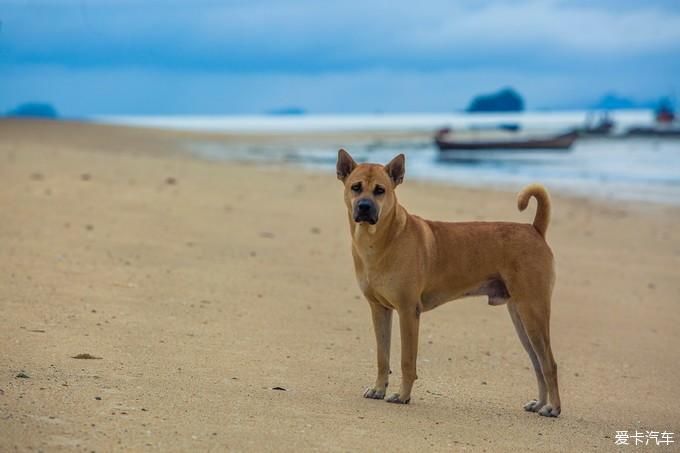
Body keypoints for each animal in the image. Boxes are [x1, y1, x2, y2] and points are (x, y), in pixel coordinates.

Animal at [336, 148, 564, 416]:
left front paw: (403, 396)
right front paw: (379, 389)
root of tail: (535, 229)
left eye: (380, 190)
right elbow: (383, 357)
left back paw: (553, 408)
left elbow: (406, 361)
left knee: (549, 363)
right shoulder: (379, 310)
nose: (364, 206)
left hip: (533, 312)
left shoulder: (408, 312)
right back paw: (539, 403)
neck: (380, 240)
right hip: (520, 317)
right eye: (356, 187)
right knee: (538, 363)